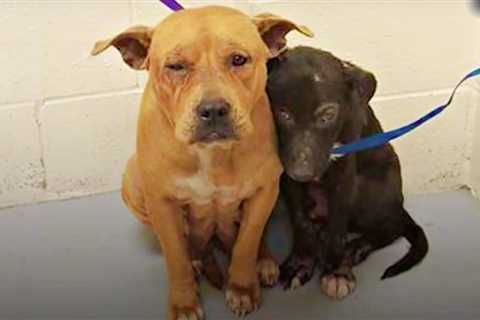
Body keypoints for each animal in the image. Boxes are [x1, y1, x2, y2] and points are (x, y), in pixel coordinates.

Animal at [92, 6, 314, 318]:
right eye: (175, 66)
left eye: (238, 59)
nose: (213, 109)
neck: (213, 155)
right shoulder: (161, 203)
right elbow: (176, 257)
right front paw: (184, 302)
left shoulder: (264, 191)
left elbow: (247, 242)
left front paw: (242, 287)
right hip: (132, 183)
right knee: (190, 244)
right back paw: (198, 257)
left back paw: (263, 260)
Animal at [268, 47, 430, 300]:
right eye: (282, 113)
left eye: (327, 115)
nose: (302, 173)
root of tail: (398, 202)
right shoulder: (287, 179)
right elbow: (301, 221)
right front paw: (301, 263)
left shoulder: (344, 177)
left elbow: (337, 226)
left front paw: (337, 272)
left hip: (368, 189)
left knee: (392, 225)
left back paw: (354, 248)